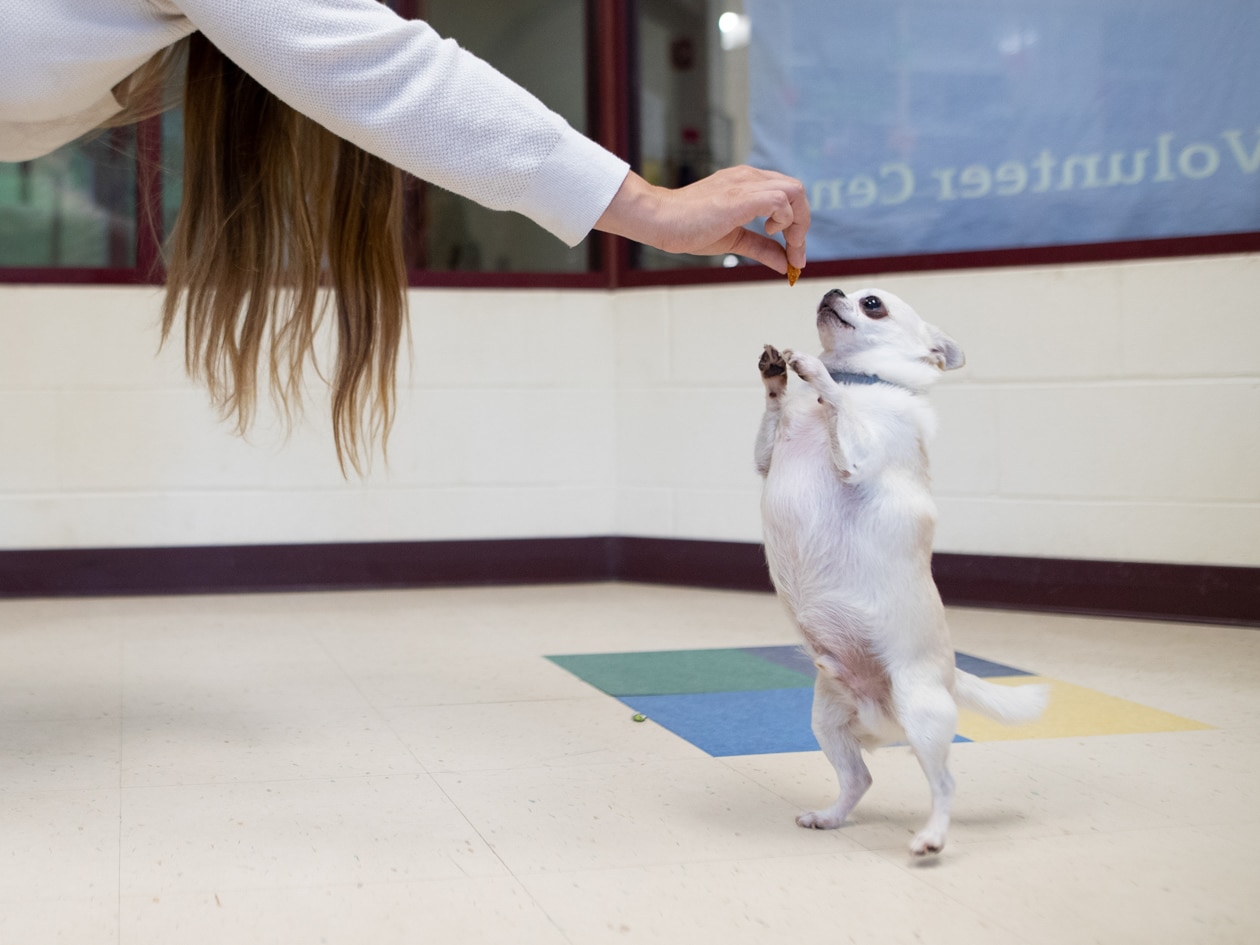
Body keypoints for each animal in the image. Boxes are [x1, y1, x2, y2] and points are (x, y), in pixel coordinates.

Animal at [750, 287, 1048, 856]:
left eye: (873, 304)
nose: (831, 291)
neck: (859, 379)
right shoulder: (765, 458)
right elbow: (773, 419)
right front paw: (776, 375)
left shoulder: (857, 456)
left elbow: (838, 405)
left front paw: (814, 375)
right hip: (828, 719)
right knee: (860, 778)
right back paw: (830, 817)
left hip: (922, 713)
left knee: (945, 783)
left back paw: (931, 838)